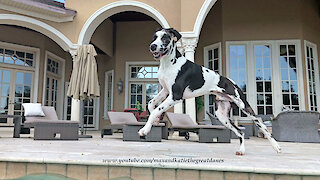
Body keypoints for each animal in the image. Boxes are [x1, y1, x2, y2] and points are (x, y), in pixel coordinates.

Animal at [138, 27, 280, 155]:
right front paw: (154, 121)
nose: (153, 46)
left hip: (244, 107)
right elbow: (151, 104)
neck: (170, 63)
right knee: (240, 131)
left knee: (261, 123)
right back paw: (241, 150)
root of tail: (232, 82)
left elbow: (156, 110)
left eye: (165, 38)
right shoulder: (165, 91)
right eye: (154, 37)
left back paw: (276, 146)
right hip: (222, 116)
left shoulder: (175, 96)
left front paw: (145, 129)